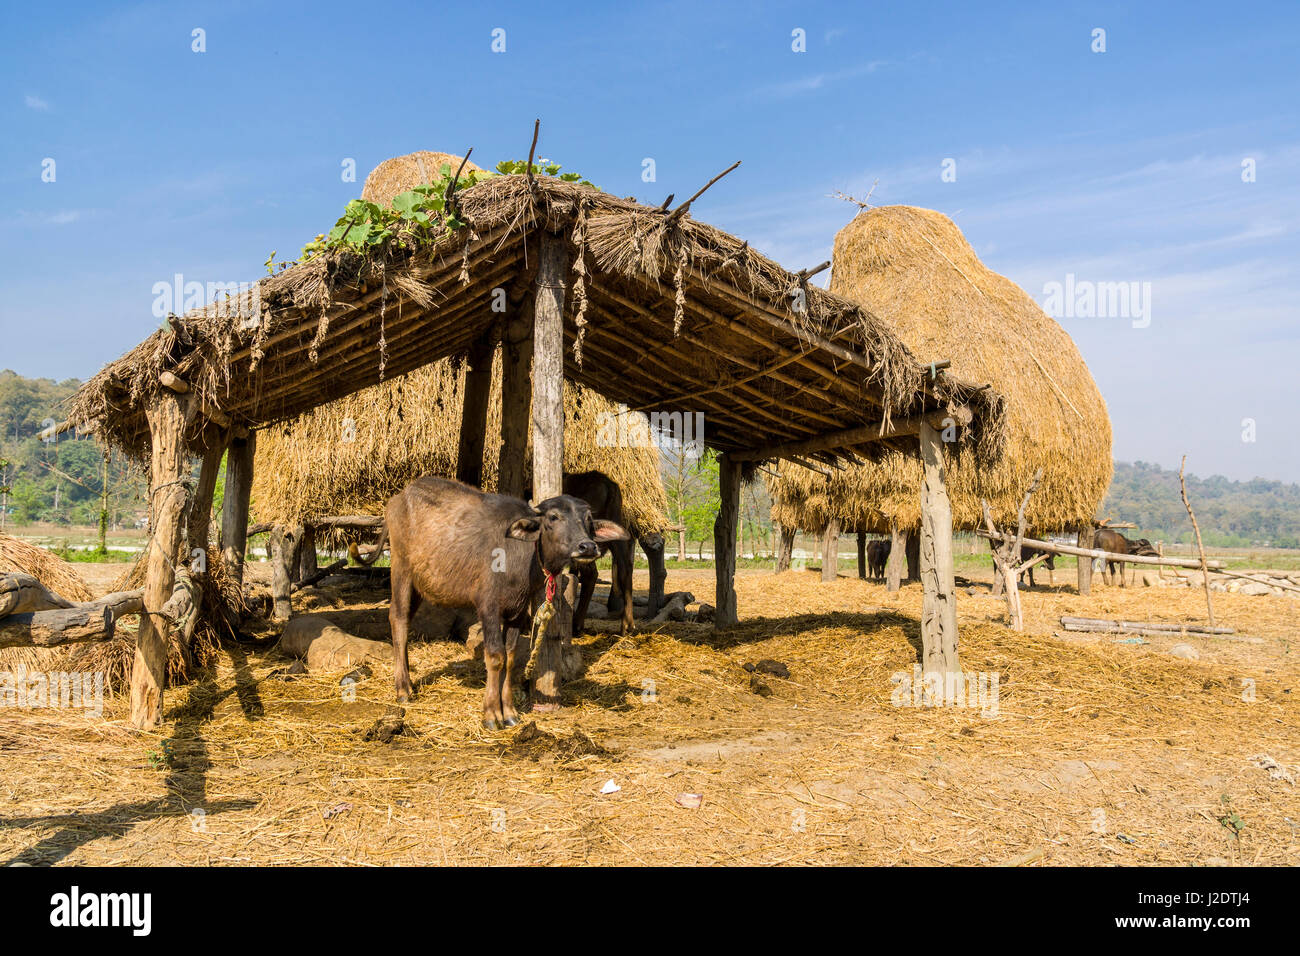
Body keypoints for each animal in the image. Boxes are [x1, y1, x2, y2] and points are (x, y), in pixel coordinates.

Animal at [351, 478, 624, 733]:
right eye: (553, 517)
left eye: (588, 519)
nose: (587, 546)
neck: (519, 556)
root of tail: (397, 500)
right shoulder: (488, 608)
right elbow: (495, 656)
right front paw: (492, 714)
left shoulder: (517, 612)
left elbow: (511, 657)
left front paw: (510, 711)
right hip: (401, 570)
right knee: (397, 620)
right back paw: (403, 689)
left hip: (421, 584)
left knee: (406, 622)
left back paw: (409, 679)